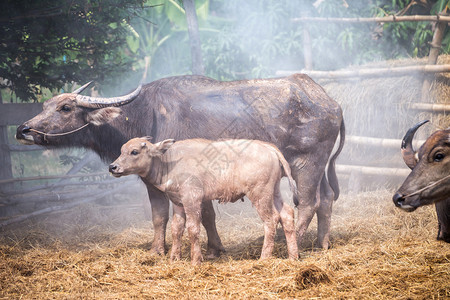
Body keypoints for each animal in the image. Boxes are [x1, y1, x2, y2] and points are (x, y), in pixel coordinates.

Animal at [109, 138, 298, 264]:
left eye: (134, 151)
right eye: (121, 150)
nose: (112, 167)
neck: (169, 163)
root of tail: (268, 147)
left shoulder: (192, 199)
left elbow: (193, 228)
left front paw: (195, 260)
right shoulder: (178, 202)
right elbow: (176, 229)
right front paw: (174, 258)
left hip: (260, 194)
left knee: (271, 220)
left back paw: (264, 257)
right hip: (274, 191)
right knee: (287, 214)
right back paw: (293, 256)